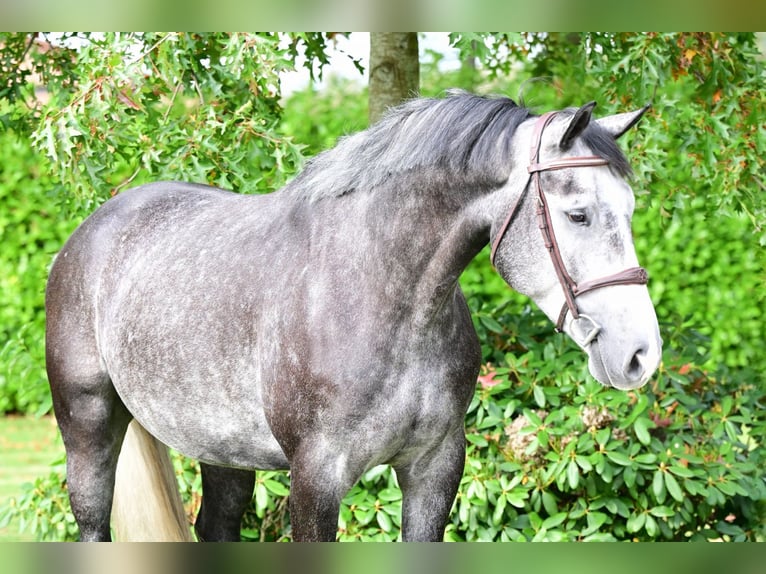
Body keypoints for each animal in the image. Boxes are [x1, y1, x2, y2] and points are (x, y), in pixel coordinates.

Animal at [45, 92, 664, 544]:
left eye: (631, 211)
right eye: (578, 214)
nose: (641, 354)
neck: (382, 298)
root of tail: (94, 227)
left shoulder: (435, 469)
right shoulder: (317, 480)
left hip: (221, 449)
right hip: (89, 429)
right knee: (93, 525)